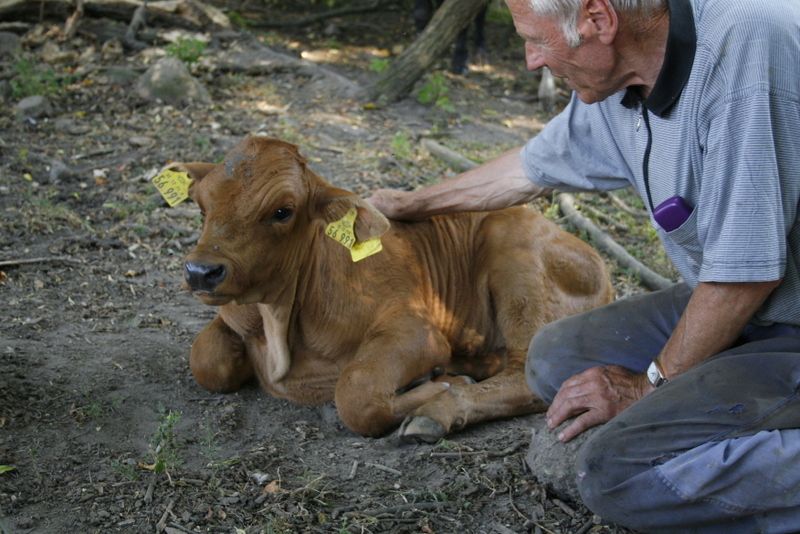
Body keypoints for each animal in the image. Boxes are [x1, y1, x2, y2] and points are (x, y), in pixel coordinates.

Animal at [175, 138, 612, 444]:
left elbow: (356, 394)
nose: (201, 271)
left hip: (517, 258)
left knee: (528, 375)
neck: (281, 320)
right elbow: (205, 360)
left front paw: (442, 385)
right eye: (201, 207)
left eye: (283, 212)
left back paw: (438, 410)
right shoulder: (233, 319)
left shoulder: (417, 329)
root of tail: (603, 270)